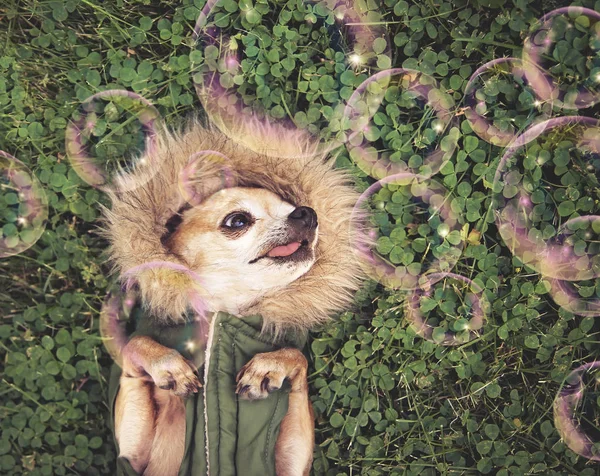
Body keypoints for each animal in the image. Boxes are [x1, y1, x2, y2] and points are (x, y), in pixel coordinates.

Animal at [101, 120, 368, 476]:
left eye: (294, 208)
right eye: (238, 220)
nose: (307, 213)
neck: (221, 312)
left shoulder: (292, 462)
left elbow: (297, 358)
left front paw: (267, 370)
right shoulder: (132, 457)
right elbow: (135, 343)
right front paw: (171, 369)